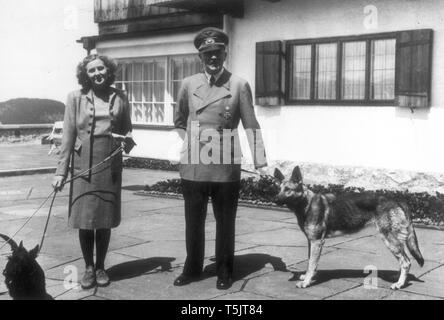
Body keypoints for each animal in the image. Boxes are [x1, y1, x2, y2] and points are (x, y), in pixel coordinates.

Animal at [274, 168, 424, 290]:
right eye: (279, 189)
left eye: (288, 189)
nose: (275, 199)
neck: (307, 204)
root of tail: (398, 200)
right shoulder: (311, 242)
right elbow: (311, 262)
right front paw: (308, 277)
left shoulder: (317, 242)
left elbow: (311, 264)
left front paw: (306, 282)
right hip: (395, 242)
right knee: (404, 260)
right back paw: (398, 279)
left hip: (389, 240)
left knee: (406, 262)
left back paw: (399, 284)